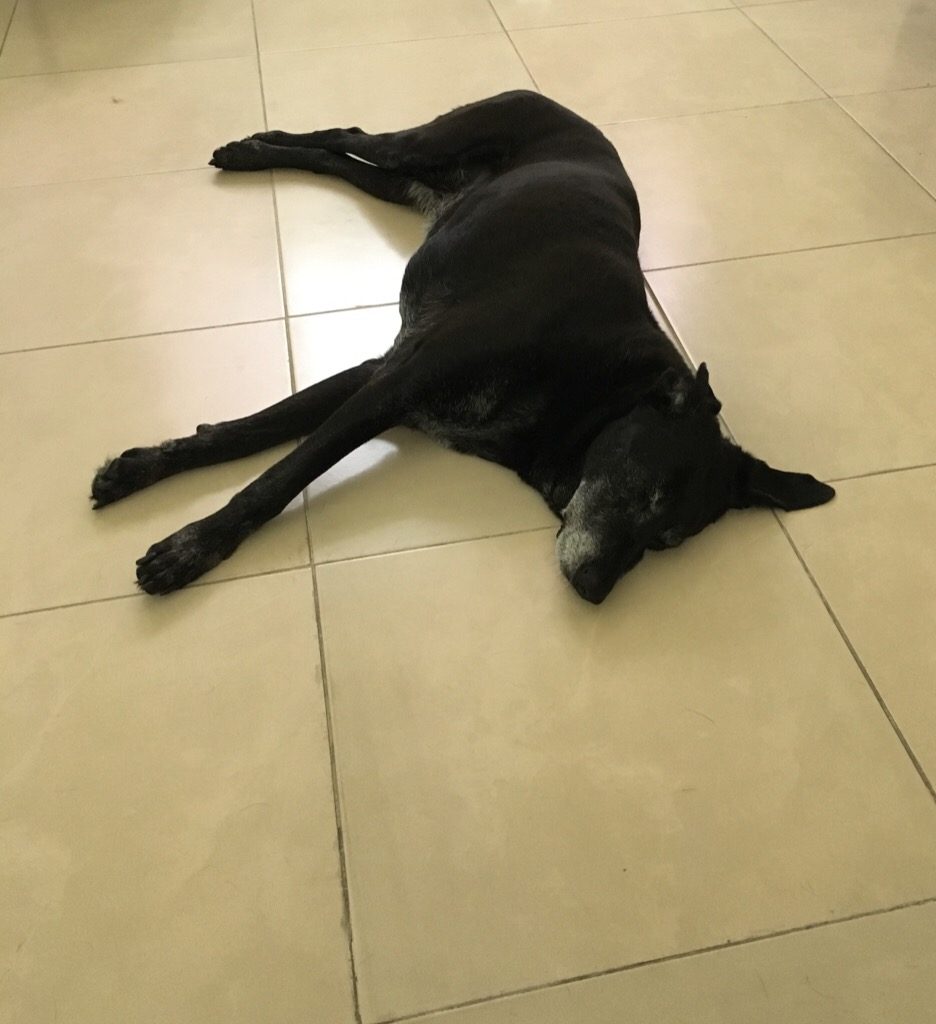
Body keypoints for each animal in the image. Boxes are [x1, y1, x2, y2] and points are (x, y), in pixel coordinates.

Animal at [89, 92, 831, 602]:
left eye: (668, 540)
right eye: (646, 494)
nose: (594, 590)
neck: (595, 388)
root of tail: (564, 104)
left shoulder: (380, 372)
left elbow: (251, 433)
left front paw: (144, 472)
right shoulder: (396, 381)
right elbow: (278, 472)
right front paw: (191, 545)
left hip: (408, 185)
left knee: (341, 158)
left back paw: (263, 152)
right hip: (425, 145)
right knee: (351, 134)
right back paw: (255, 148)